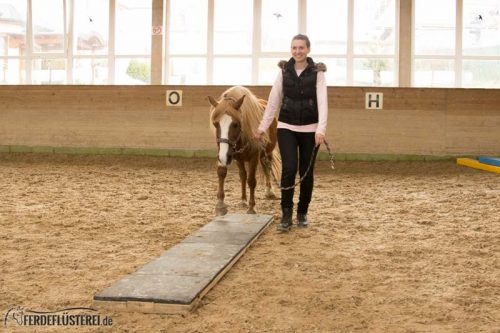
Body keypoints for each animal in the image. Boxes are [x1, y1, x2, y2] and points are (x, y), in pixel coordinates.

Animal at [207, 85, 282, 215]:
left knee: (267, 167)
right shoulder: (225, 154)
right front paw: (220, 205)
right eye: (216, 124)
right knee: (243, 175)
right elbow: (223, 173)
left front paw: (252, 207)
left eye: (236, 124)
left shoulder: (254, 157)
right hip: (241, 159)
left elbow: (251, 180)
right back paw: (243, 199)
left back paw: (269, 190)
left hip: (267, 152)